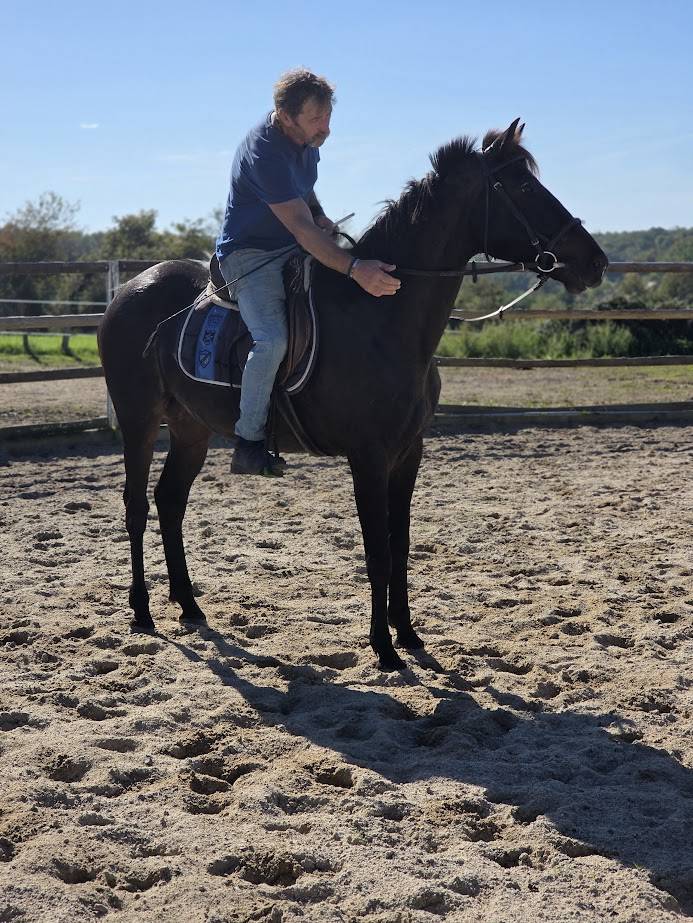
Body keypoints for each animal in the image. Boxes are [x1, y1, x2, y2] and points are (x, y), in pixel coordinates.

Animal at [98, 119, 607, 671]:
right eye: (522, 187)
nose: (596, 262)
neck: (380, 316)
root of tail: (128, 291)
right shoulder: (368, 456)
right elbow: (376, 552)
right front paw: (384, 648)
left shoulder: (408, 453)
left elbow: (400, 544)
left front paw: (408, 633)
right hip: (138, 420)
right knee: (136, 506)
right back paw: (143, 611)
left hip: (190, 428)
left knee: (170, 502)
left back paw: (189, 605)